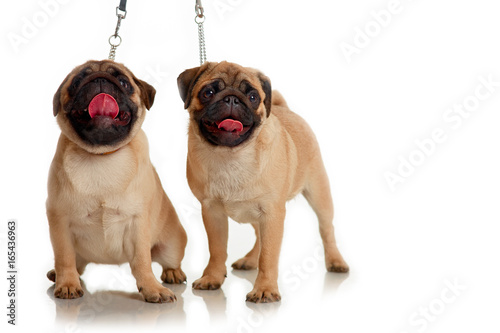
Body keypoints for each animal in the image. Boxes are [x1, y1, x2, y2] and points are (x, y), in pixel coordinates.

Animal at [47, 59, 188, 300]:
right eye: (76, 82)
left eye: (123, 82)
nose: (100, 79)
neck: (102, 155)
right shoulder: (59, 221)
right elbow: (64, 257)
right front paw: (67, 284)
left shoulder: (139, 224)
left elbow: (142, 261)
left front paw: (152, 288)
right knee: (75, 264)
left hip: (172, 245)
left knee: (168, 260)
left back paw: (173, 273)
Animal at [179, 61, 348, 302]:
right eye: (208, 92)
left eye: (252, 97)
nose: (232, 99)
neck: (231, 157)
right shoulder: (212, 213)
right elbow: (217, 249)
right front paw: (212, 277)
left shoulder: (272, 213)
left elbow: (269, 255)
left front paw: (265, 289)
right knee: (258, 236)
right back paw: (250, 260)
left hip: (319, 194)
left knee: (327, 229)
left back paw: (336, 261)